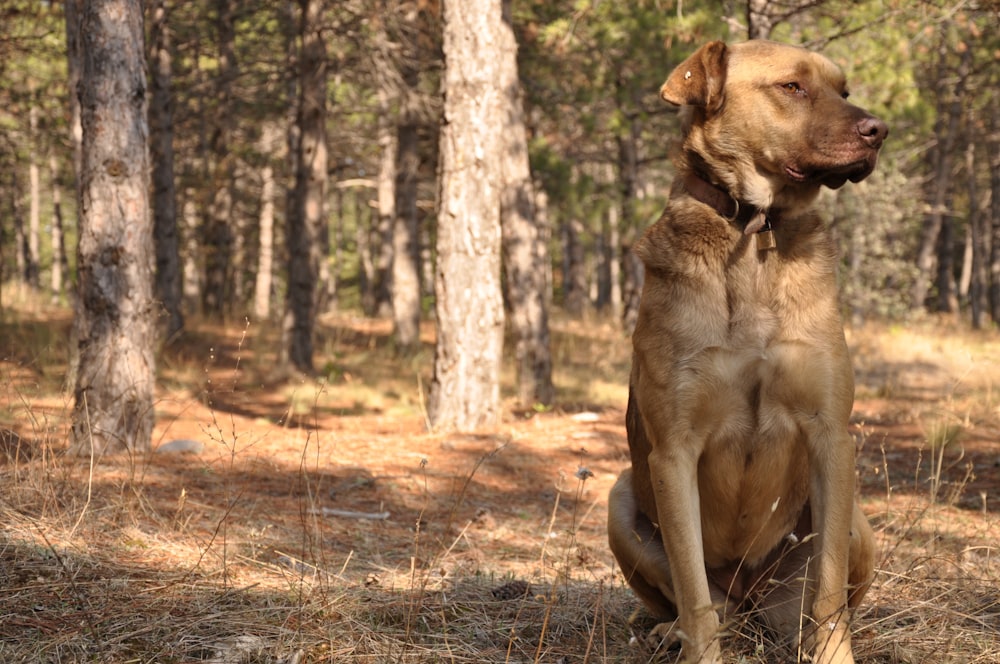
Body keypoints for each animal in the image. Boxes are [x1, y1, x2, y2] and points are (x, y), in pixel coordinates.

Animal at [604, 39, 888, 660]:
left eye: (844, 90)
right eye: (792, 87)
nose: (880, 130)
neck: (756, 234)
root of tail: (752, 596)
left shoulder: (831, 436)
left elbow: (829, 593)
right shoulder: (673, 453)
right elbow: (693, 593)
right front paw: (698, 647)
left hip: (855, 521)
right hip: (619, 504)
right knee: (703, 606)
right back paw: (670, 631)